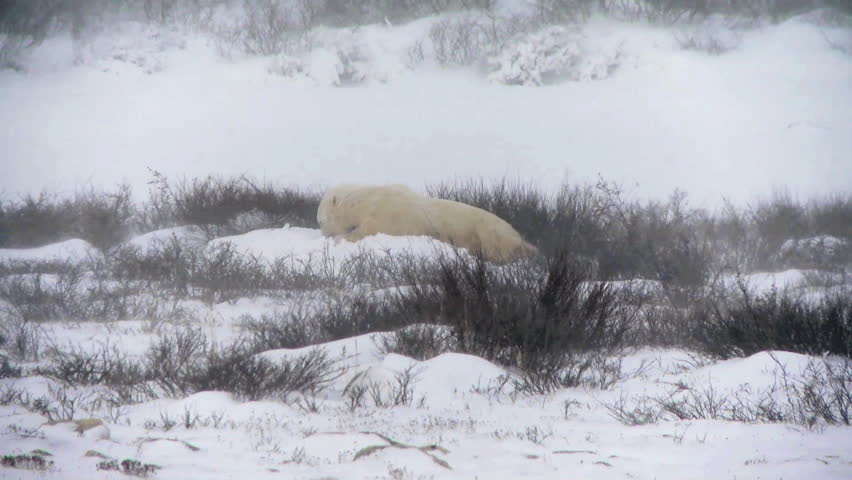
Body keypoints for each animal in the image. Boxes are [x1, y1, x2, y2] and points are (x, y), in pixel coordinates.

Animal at [317, 184, 538, 263]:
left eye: (321, 221)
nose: (323, 232)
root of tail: (519, 238)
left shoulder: (386, 214)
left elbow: (368, 230)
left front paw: (341, 238)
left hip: (488, 232)